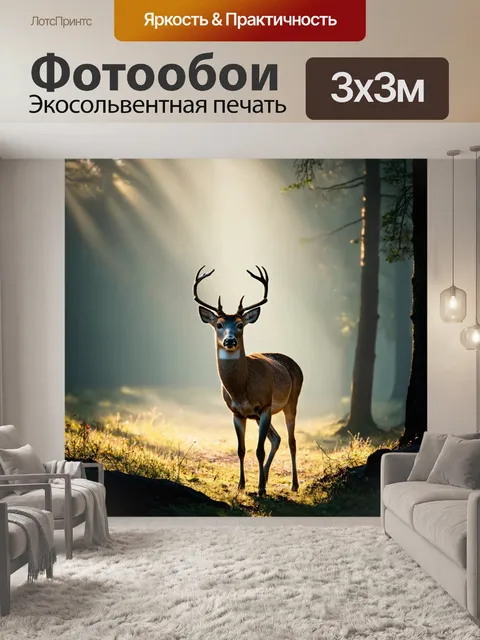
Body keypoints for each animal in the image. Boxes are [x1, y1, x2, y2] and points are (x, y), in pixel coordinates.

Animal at [193, 265, 303, 497]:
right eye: (218, 324)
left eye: (240, 324)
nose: (230, 340)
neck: (241, 388)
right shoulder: (237, 412)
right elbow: (241, 449)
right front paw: (242, 484)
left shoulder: (265, 406)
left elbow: (259, 450)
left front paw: (260, 489)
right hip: (260, 415)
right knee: (276, 438)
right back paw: (267, 477)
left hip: (291, 401)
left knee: (291, 441)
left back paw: (294, 484)